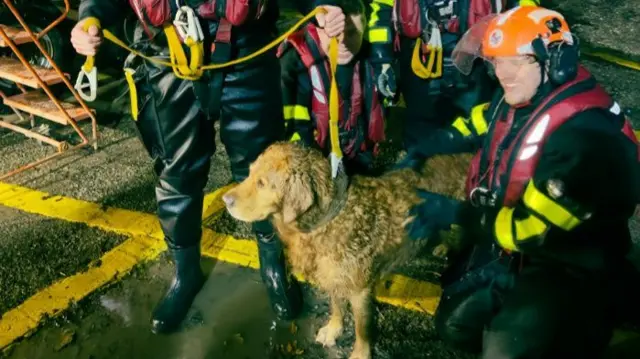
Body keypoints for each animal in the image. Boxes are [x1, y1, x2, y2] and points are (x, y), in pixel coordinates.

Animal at [222, 142, 472, 358]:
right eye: (249, 173)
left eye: (262, 183)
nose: (225, 199)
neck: (326, 221)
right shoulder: (331, 275)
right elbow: (336, 306)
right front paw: (333, 329)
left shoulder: (360, 290)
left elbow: (362, 330)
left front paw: (360, 354)